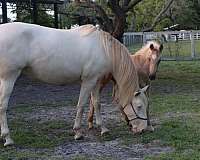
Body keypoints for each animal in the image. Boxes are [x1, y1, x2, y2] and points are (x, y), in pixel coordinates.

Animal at [0, 22, 148, 146]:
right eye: (139, 106)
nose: (143, 130)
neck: (103, 48)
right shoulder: (88, 81)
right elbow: (81, 105)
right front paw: (78, 133)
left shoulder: (96, 82)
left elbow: (96, 104)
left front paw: (103, 129)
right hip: (8, 78)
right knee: (3, 106)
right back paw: (8, 138)